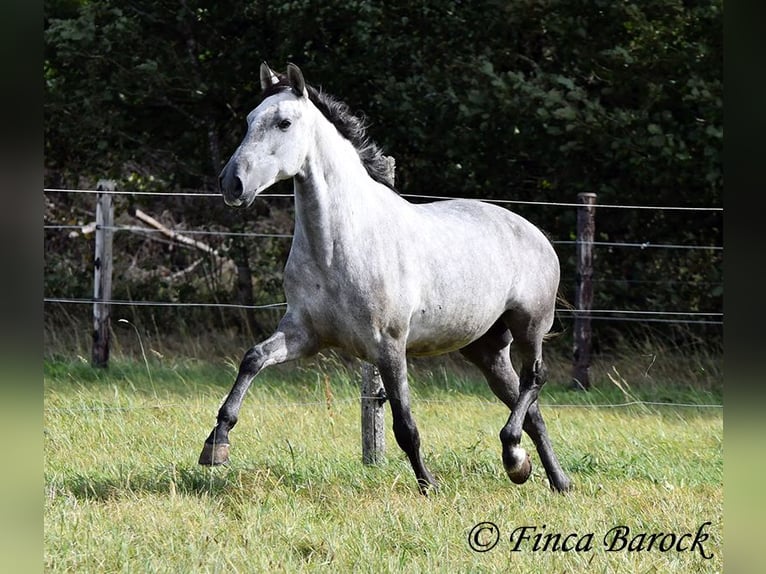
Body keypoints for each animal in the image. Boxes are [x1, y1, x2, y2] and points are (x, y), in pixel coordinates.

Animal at [201, 62, 572, 496]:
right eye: (248, 121)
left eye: (284, 122)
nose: (232, 183)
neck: (339, 246)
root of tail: (536, 234)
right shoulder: (303, 333)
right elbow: (253, 359)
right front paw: (216, 445)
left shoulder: (389, 345)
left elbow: (405, 426)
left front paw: (429, 486)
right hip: (485, 348)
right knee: (530, 409)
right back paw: (552, 478)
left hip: (529, 324)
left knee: (535, 379)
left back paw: (514, 455)